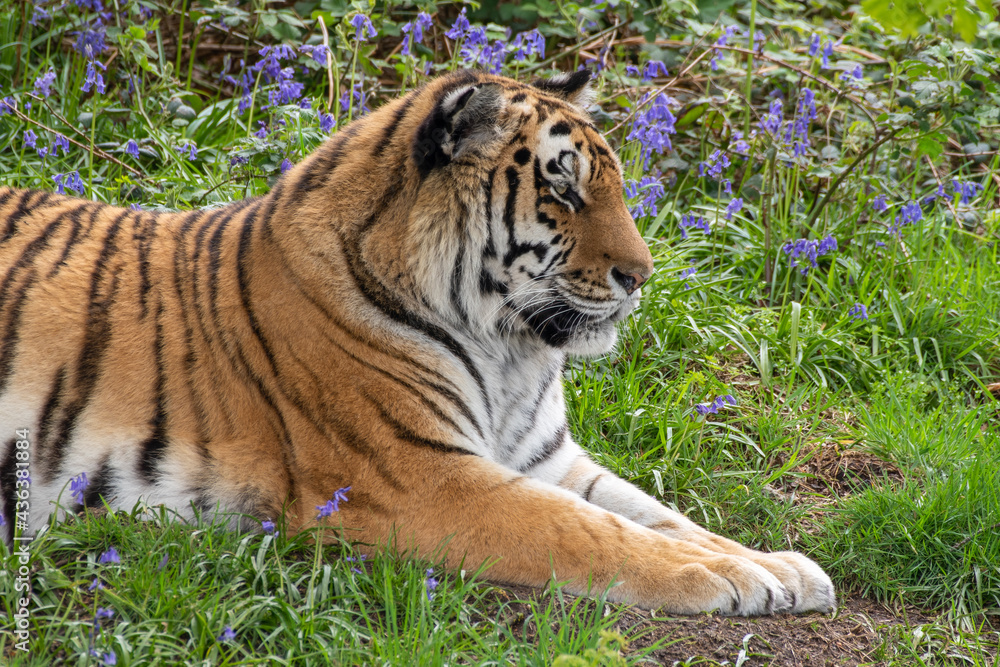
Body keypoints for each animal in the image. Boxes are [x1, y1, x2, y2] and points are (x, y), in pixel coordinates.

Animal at [0, 68, 834, 615]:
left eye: (618, 185)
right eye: (563, 189)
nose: (643, 274)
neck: (512, 350)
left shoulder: (547, 458)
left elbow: (660, 513)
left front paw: (784, 567)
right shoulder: (423, 478)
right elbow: (596, 531)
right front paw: (732, 579)